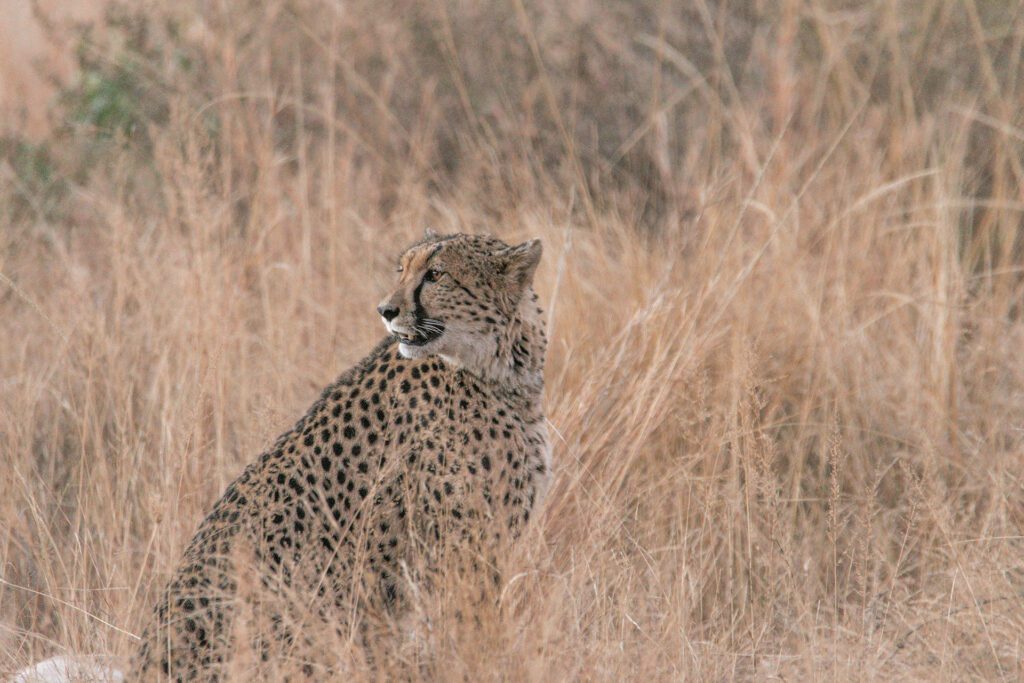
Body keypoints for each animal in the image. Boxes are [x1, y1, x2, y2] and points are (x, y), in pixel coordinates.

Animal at [130, 231, 551, 681]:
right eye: (402, 270)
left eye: (436, 275)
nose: (386, 310)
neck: (500, 366)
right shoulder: (462, 552)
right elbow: (473, 632)